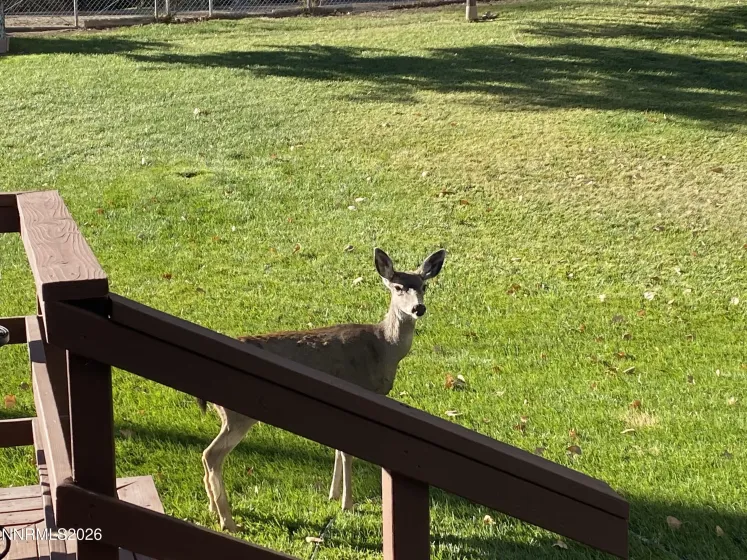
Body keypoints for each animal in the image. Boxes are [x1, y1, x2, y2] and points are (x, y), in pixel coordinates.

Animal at [198, 247, 447, 532]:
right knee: (211, 455)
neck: (383, 347)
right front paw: (348, 504)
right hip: (238, 414)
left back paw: (213, 508)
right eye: (398, 287)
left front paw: (333, 495)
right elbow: (348, 453)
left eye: (424, 286)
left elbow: (338, 449)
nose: (419, 308)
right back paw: (228, 522)